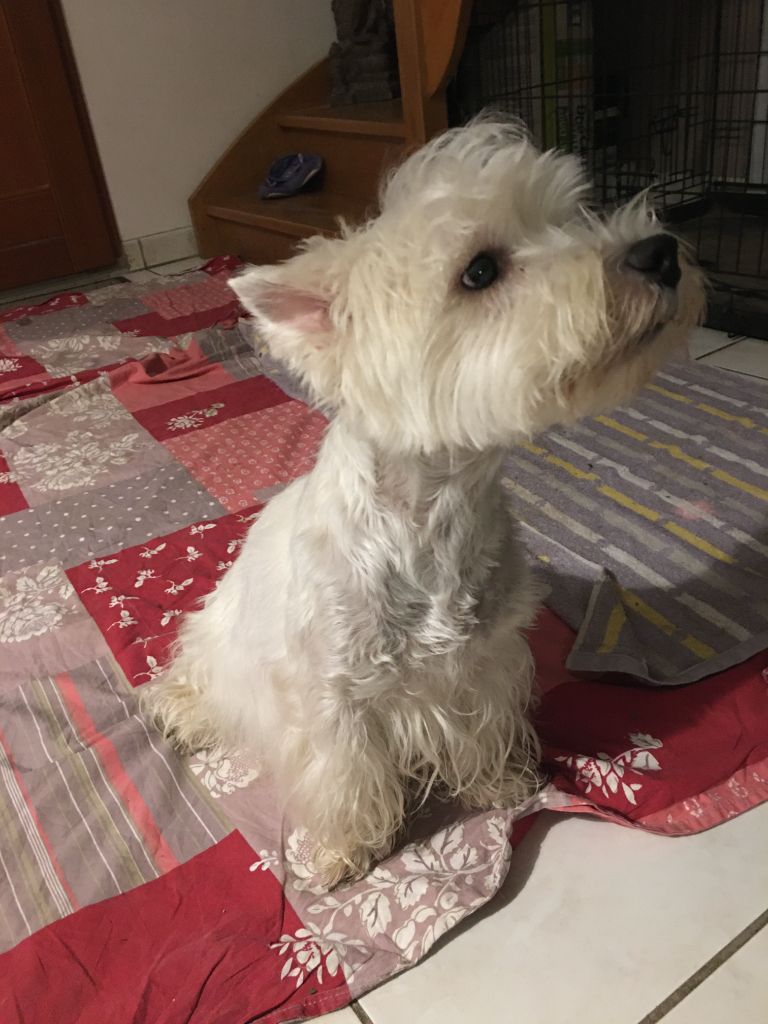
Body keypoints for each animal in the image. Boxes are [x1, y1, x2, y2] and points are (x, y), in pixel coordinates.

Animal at [140, 118, 705, 887]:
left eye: (571, 215)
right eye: (480, 271)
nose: (661, 251)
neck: (438, 511)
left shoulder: (485, 663)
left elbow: (482, 730)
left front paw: (500, 784)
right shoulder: (334, 697)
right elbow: (346, 777)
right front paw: (346, 851)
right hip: (221, 637)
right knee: (190, 675)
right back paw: (180, 713)